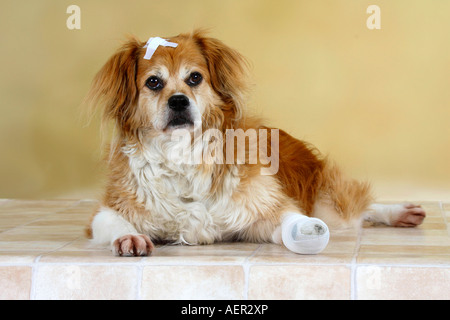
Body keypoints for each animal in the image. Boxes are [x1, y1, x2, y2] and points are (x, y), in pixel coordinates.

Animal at [84, 29, 426, 255]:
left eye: (195, 78)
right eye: (153, 82)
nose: (179, 101)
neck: (182, 154)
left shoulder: (263, 209)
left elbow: (292, 220)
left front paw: (306, 231)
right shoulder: (112, 208)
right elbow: (114, 223)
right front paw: (129, 238)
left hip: (331, 203)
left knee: (356, 207)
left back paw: (399, 211)